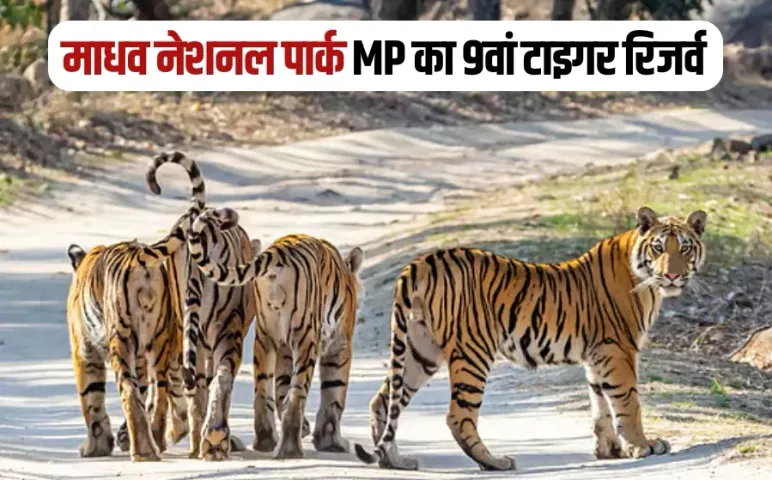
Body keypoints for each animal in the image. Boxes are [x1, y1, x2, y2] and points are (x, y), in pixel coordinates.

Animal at [65, 154, 204, 461]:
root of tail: (138, 255)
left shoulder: (83, 350)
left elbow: (91, 400)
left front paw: (94, 447)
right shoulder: (140, 355)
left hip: (121, 337)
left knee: (129, 389)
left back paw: (143, 451)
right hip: (157, 340)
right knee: (160, 392)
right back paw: (154, 441)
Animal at [187, 207, 365, 459]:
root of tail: (279, 253)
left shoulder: (282, 347)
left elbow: (281, 387)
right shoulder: (339, 344)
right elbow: (334, 393)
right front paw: (332, 442)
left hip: (264, 337)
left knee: (261, 391)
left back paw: (265, 441)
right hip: (305, 338)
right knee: (297, 394)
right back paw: (290, 449)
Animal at [354, 206, 708, 471]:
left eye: (684, 248)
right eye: (658, 248)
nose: (672, 275)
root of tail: (421, 261)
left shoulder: (598, 356)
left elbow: (600, 404)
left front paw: (610, 450)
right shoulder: (618, 349)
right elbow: (628, 401)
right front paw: (643, 445)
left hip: (420, 349)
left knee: (383, 400)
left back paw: (395, 461)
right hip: (473, 351)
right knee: (458, 416)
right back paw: (495, 462)